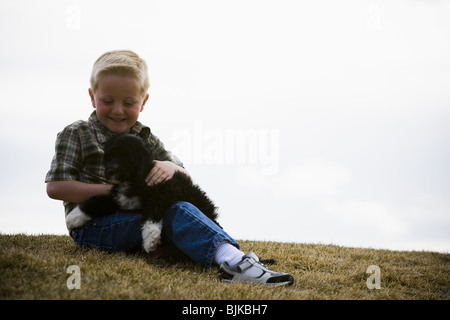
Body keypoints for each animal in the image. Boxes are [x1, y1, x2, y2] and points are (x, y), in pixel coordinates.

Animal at [66, 133, 221, 252]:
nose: (110, 171)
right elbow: (99, 199)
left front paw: (150, 238)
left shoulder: (166, 191)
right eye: (110, 155)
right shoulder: (121, 201)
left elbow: (152, 209)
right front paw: (74, 217)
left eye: (127, 157)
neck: (134, 181)